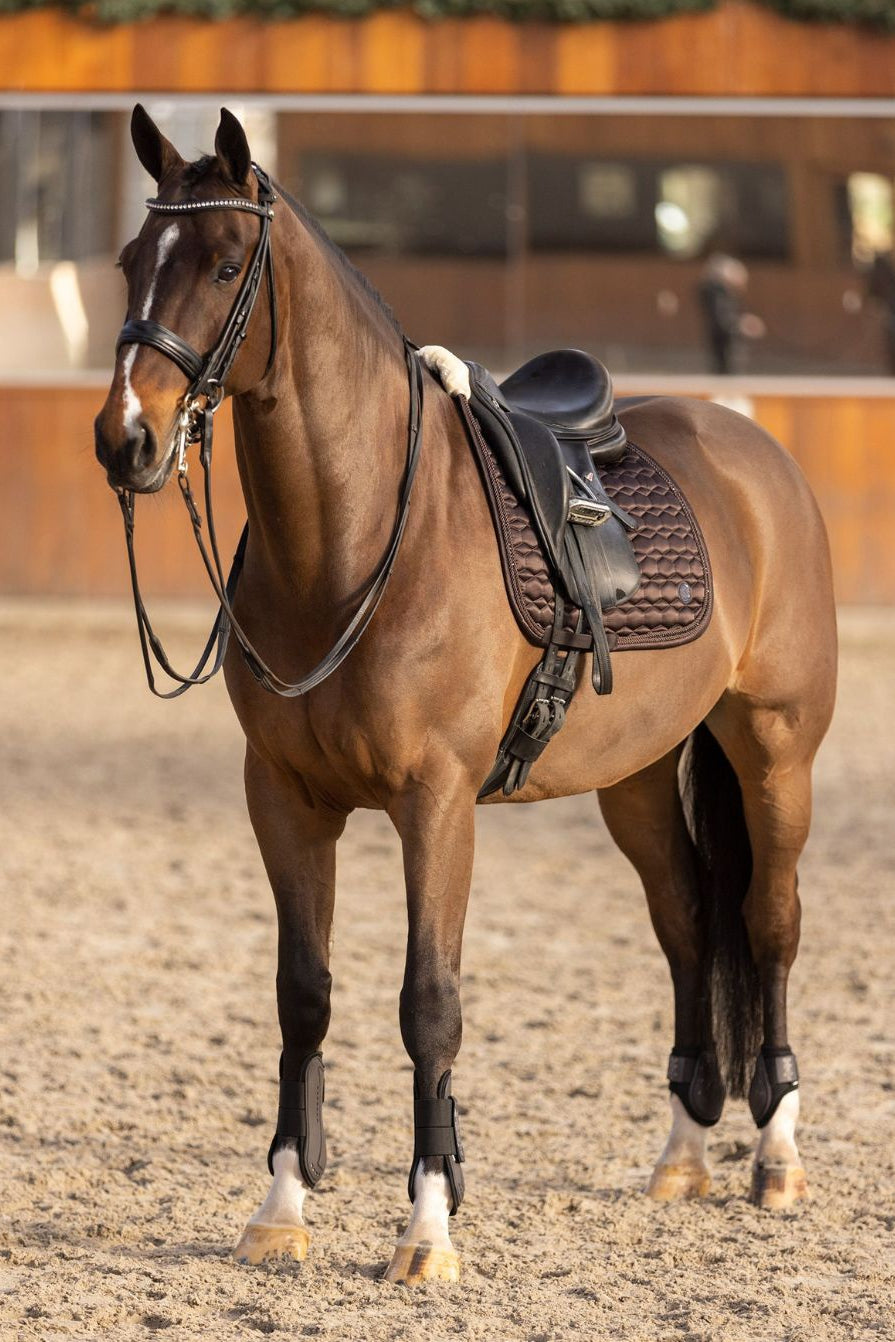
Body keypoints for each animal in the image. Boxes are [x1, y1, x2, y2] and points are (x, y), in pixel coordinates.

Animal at [94, 107, 837, 1286]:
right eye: (131, 260)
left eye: (221, 264)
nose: (124, 437)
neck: (351, 546)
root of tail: (752, 445)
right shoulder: (284, 799)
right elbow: (303, 993)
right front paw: (281, 1207)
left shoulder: (434, 802)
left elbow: (428, 1005)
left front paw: (427, 1226)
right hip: (634, 777)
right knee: (683, 922)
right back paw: (682, 1153)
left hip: (774, 752)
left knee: (766, 924)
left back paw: (776, 1157)